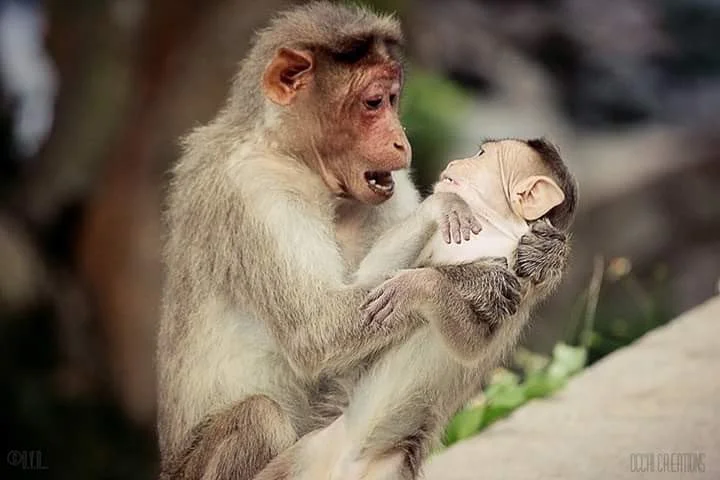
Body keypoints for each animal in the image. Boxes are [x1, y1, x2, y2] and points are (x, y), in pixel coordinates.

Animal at [253, 138, 577, 480]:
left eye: (480, 155)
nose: (456, 161)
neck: (495, 228)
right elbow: (368, 276)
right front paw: (442, 204)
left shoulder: (523, 280)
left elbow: (472, 346)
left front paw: (420, 285)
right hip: (304, 453)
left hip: (388, 467)